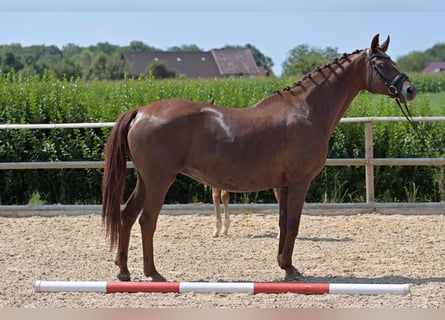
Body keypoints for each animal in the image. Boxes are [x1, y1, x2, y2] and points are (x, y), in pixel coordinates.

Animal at [102, 33, 414, 282]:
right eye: (382, 64)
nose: (410, 89)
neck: (306, 110)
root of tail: (141, 112)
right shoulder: (299, 182)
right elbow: (293, 224)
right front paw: (291, 270)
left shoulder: (283, 185)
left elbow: (283, 223)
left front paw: (284, 265)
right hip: (159, 181)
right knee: (146, 221)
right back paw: (153, 273)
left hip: (145, 180)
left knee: (127, 216)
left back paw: (124, 271)